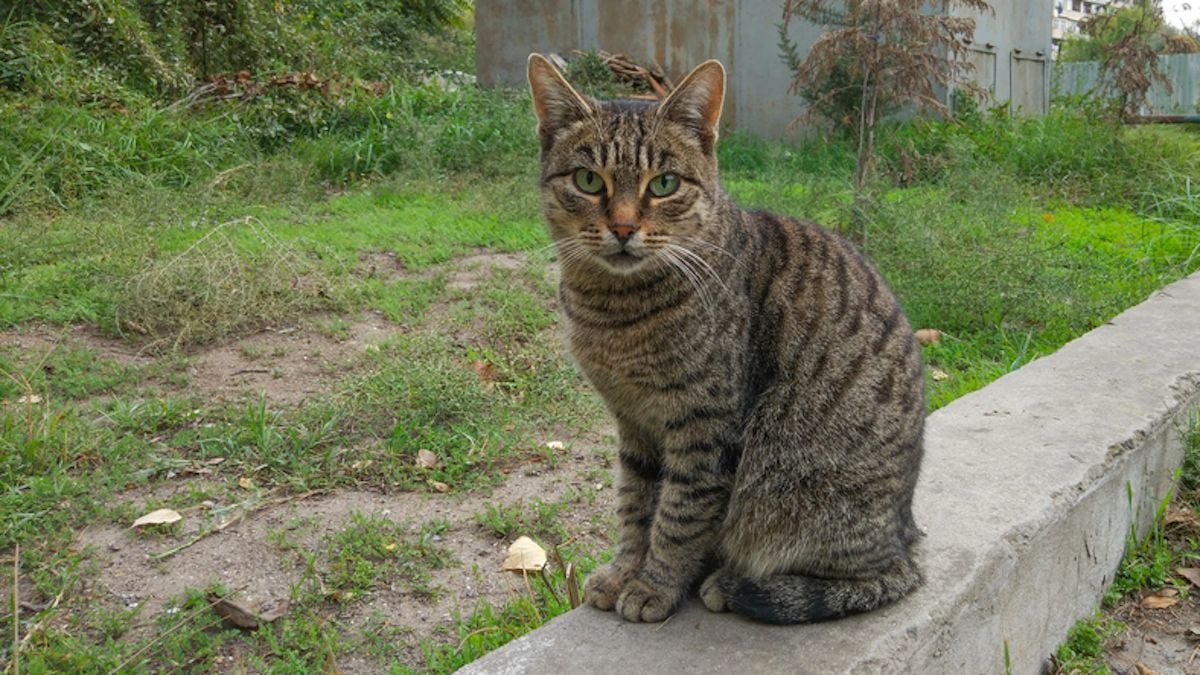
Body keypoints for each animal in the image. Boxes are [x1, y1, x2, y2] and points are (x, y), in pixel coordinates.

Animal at [525, 55, 926, 624]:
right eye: (587, 180)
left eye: (663, 184)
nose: (622, 229)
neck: (614, 311)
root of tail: (905, 531)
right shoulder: (633, 424)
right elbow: (635, 506)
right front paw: (626, 571)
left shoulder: (705, 427)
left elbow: (678, 516)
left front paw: (654, 586)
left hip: (798, 493)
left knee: (881, 579)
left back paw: (734, 584)